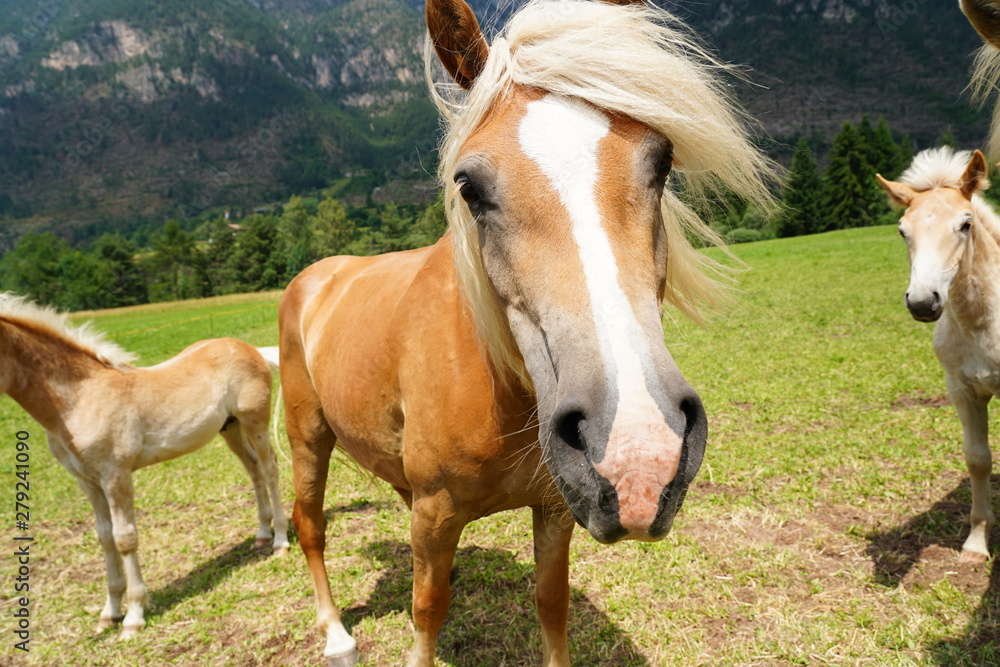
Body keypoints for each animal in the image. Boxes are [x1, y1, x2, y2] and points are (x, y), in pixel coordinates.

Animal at [0, 293, 289, 639]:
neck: (79, 399)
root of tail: (250, 348)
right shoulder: (87, 481)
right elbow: (104, 537)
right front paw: (109, 613)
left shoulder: (116, 475)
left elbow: (125, 538)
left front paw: (133, 617)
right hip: (230, 428)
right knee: (255, 471)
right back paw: (261, 534)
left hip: (254, 421)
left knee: (270, 470)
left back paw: (280, 540)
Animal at [278, 0, 773, 664]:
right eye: (468, 186)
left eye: (662, 160)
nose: (639, 453)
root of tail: (318, 276)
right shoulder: (436, 513)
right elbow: (426, 610)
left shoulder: (556, 507)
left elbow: (550, 602)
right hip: (308, 436)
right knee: (311, 525)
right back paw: (335, 633)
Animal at [876, 147, 997, 563]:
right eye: (902, 231)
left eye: (965, 224)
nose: (922, 302)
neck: (980, 324)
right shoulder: (962, 389)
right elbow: (978, 459)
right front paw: (976, 543)